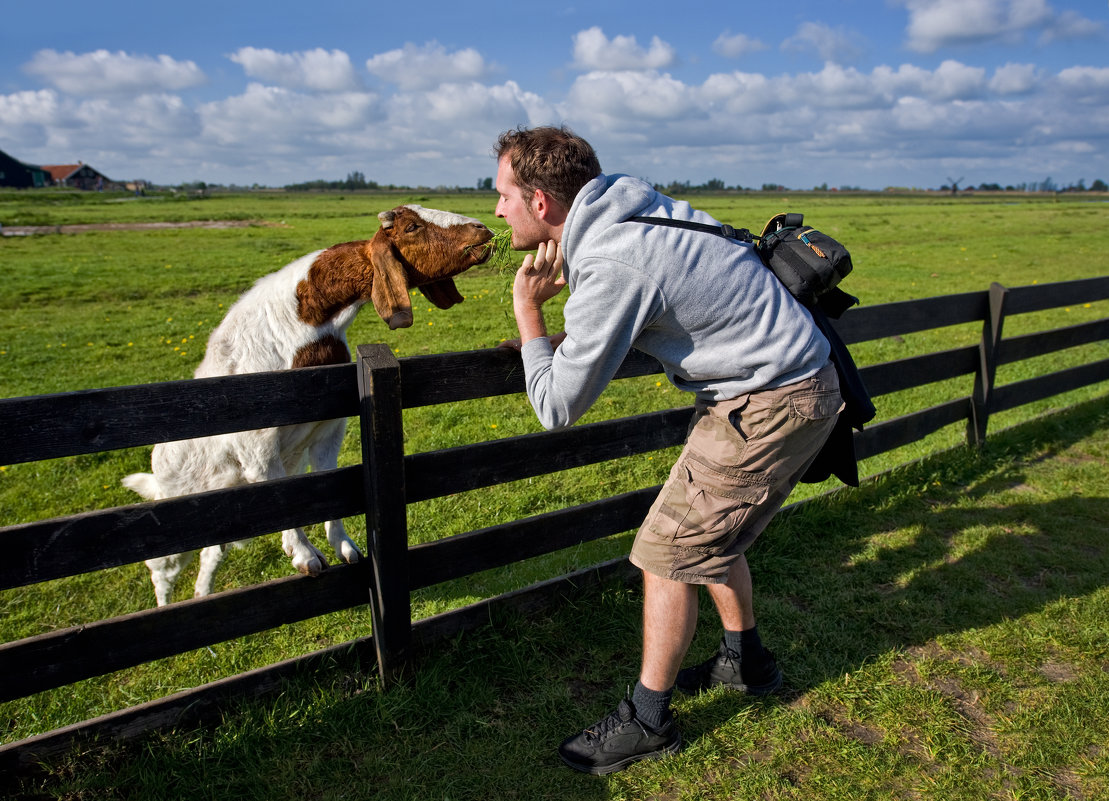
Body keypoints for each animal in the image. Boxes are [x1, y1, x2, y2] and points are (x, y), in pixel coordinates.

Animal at [120, 203, 494, 603]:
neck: (307, 325)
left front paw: (345, 547)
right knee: (161, 569)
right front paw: (305, 556)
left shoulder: (330, 430)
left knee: (211, 554)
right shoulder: (258, 446)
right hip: (176, 515)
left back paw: (203, 594)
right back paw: (165, 605)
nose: (482, 229)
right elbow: (284, 502)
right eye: (411, 227)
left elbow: (330, 486)